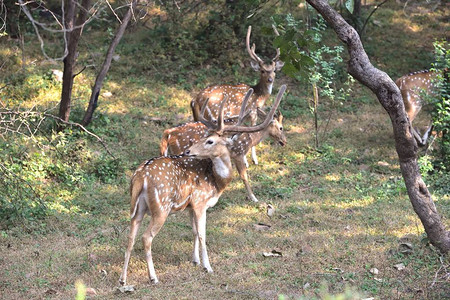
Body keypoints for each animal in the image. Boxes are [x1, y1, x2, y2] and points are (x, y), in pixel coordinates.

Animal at [119, 85, 286, 284]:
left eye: (209, 139)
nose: (188, 151)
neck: (216, 182)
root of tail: (140, 176)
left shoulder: (190, 206)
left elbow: (193, 232)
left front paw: (195, 260)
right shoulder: (200, 202)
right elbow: (202, 234)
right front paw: (208, 266)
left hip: (138, 208)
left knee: (130, 237)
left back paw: (123, 279)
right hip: (161, 207)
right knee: (146, 237)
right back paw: (153, 277)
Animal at [191, 25, 284, 166]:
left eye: (274, 70)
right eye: (262, 71)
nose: (270, 79)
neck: (259, 95)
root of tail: (195, 100)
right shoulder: (253, 112)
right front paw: (254, 160)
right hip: (213, 116)